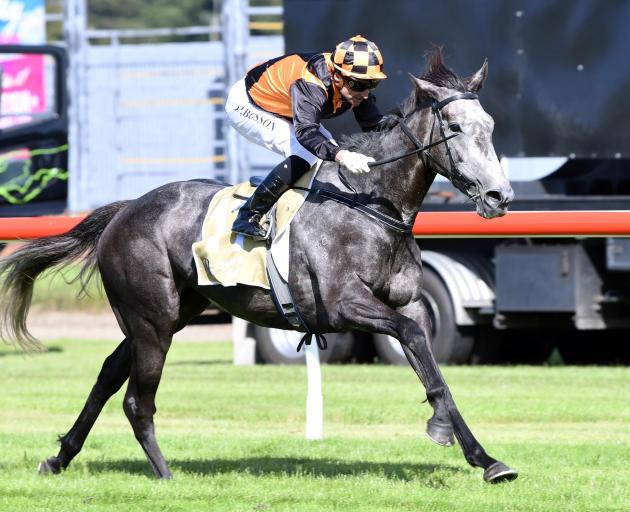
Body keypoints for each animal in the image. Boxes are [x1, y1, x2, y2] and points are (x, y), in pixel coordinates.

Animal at [1, 52, 520, 484]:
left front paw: (486, 459)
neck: (371, 205)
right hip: (152, 319)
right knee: (136, 400)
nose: (500, 196)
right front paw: (442, 430)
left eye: (490, 125)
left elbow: (434, 370)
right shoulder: (344, 305)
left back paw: (60, 457)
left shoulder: (407, 303)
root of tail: (125, 210)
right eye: (453, 126)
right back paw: (165, 476)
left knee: (109, 375)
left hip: (169, 314)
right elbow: (413, 343)